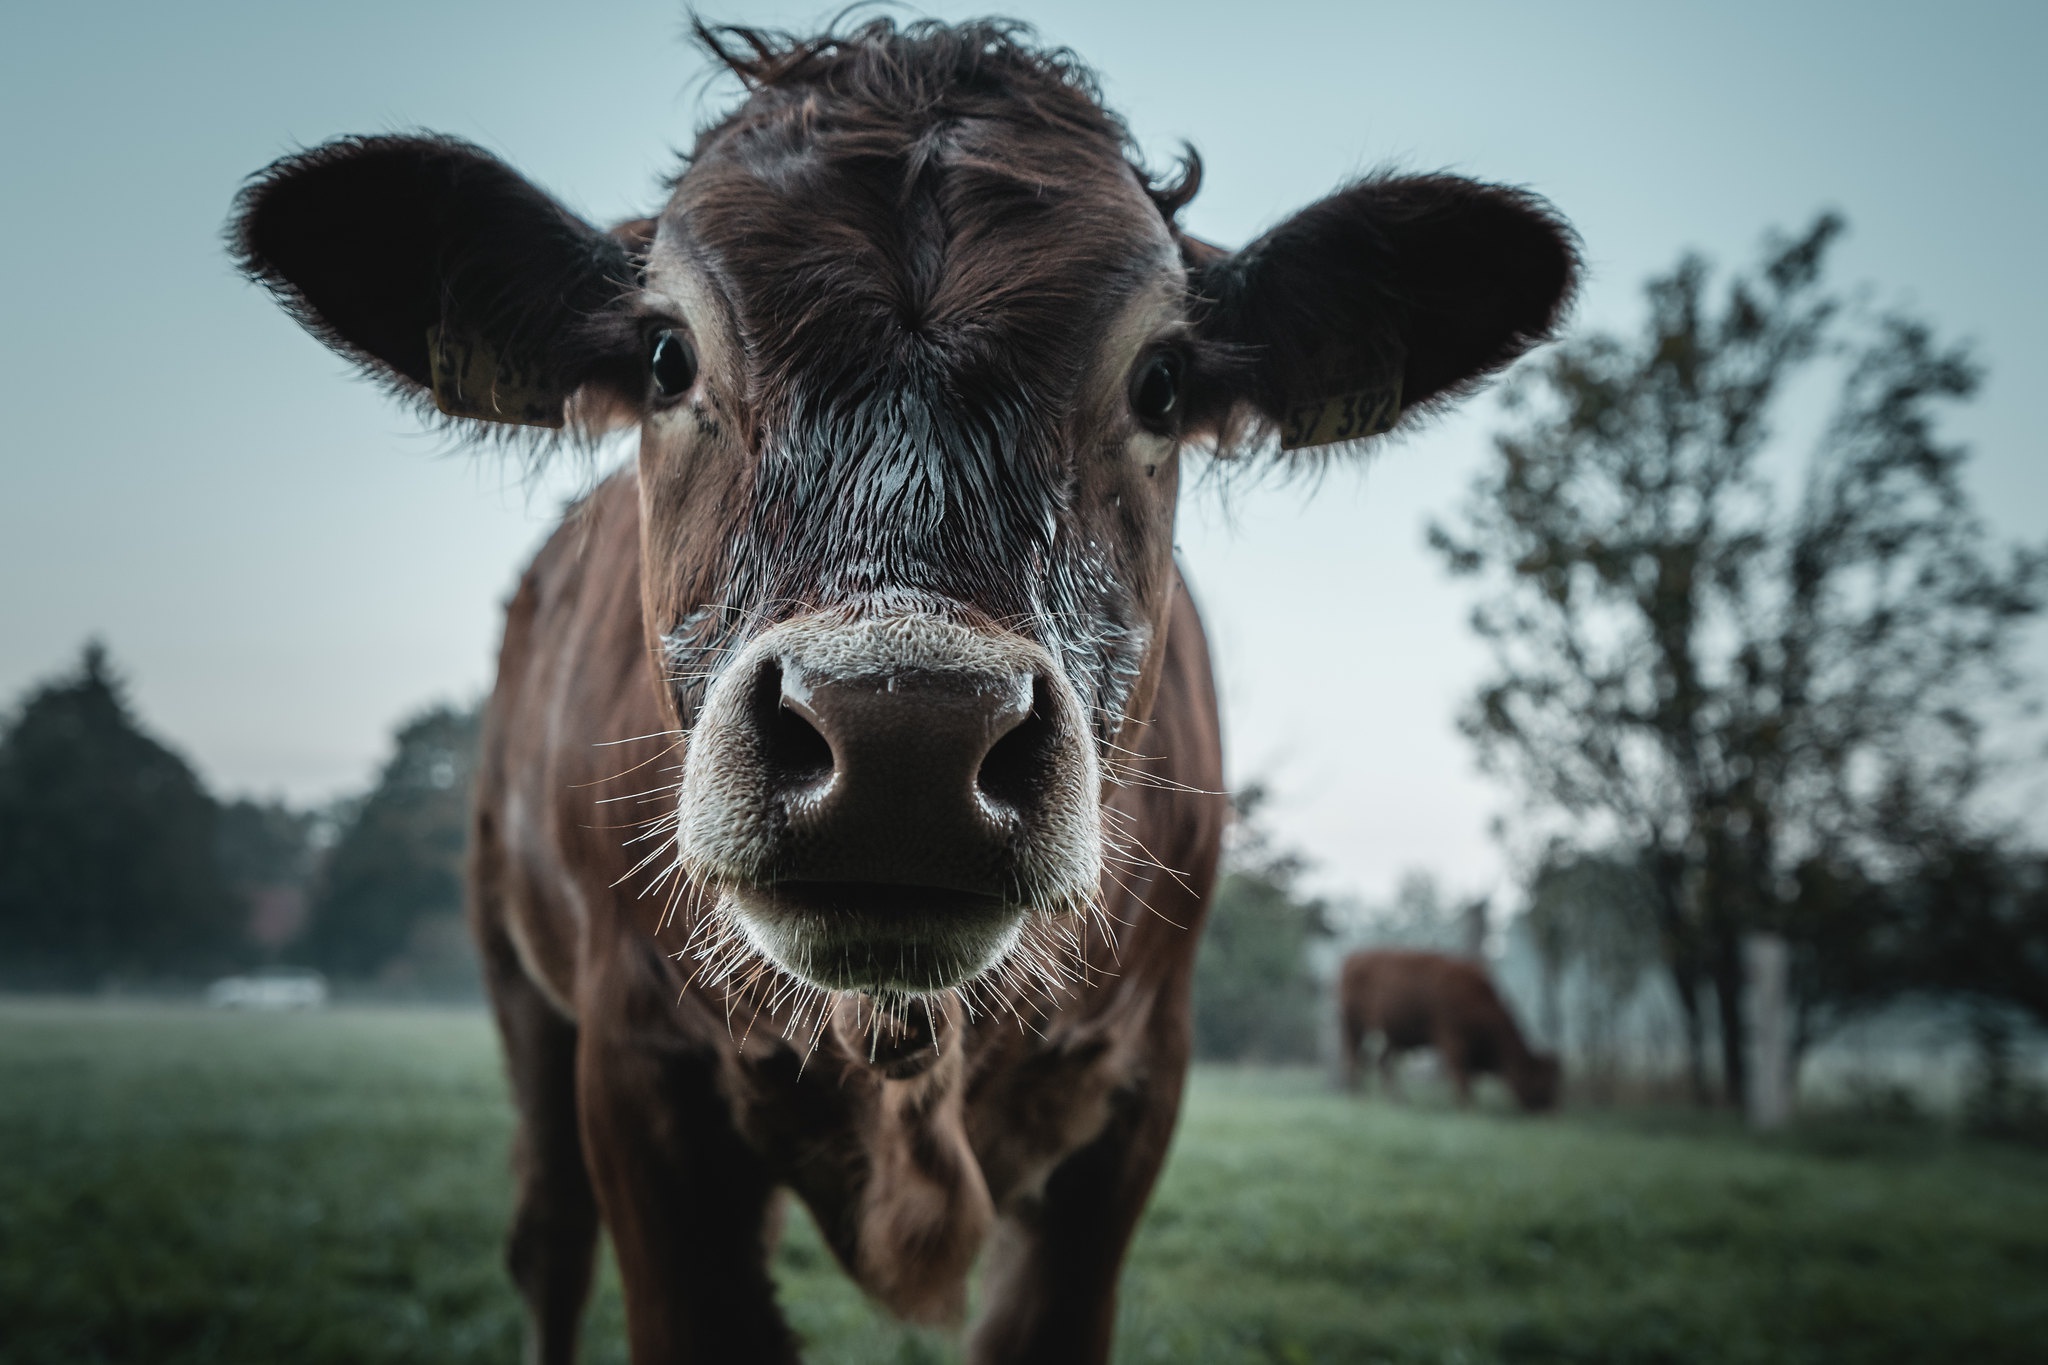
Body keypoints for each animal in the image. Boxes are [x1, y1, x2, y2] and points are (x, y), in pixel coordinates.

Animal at [1335, 949, 1556, 1113]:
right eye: (1537, 1079)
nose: (1547, 1108)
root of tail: (1352, 958)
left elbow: (1466, 1076)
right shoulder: (1452, 1038)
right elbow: (1461, 1073)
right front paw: (1468, 1107)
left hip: (1389, 1036)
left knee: (1380, 1062)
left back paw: (1397, 1100)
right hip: (1355, 1028)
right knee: (1356, 1059)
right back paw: (1358, 1095)